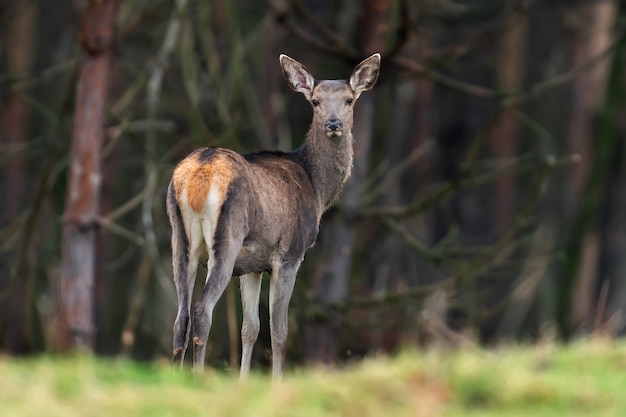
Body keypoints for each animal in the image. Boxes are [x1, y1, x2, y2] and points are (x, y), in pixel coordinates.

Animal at [167, 51, 380, 376]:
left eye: (349, 100)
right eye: (315, 101)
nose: (333, 123)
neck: (317, 189)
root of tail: (201, 170)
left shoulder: (251, 265)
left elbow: (250, 328)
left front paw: (243, 381)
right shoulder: (289, 255)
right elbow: (279, 330)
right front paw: (277, 380)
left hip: (179, 239)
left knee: (180, 317)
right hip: (227, 238)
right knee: (202, 310)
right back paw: (197, 376)